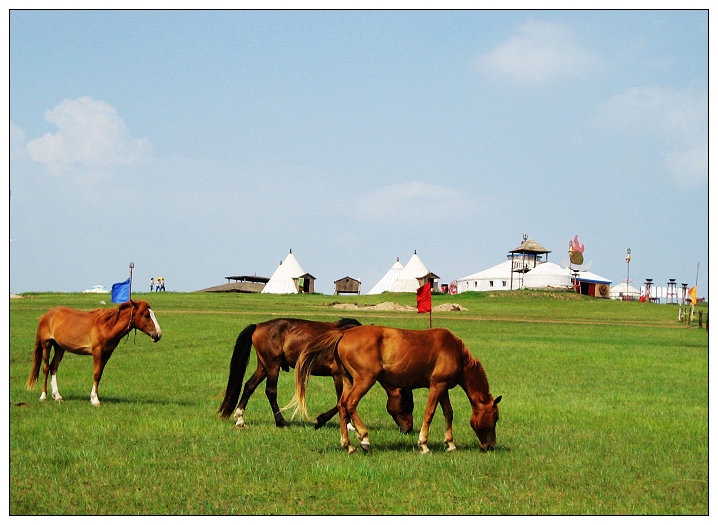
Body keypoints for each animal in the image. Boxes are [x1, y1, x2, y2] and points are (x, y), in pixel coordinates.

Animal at [26, 298, 163, 406]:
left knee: (53, 367)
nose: (158, 334)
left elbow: (100, 374)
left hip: (60, 347)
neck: (106, 325)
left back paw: (57, 396)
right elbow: (96, 374)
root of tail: (45, 315)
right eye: (146, 315)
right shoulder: (97, 352)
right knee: (46, 368)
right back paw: (43, 396)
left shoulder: (107, 353)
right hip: (47, 344)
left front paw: (94, 397)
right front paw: (95, 400)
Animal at [217, 318, 414, 432]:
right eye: (407, 403)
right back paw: (281, 422)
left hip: (264, 366)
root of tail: (258, 325)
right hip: (272, 365)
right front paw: (324, 421)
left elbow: (344, 400)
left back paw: (240, 419)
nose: (408, 429)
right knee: (270, 391)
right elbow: (341, 400)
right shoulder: (338, 375)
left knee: (249, 386)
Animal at [292, 322, 500, 452]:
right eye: (495, 418)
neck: (454, 351)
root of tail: (344, 334)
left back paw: (348, 445)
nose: (491, 446)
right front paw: (423, 444)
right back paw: (364, 439)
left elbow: (448, 413)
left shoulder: (443, 388)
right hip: (365, 380)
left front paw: (450, 443)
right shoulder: (436, 386)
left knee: (342, 405)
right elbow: (429, 413)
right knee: (350, 404)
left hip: (348, 380)